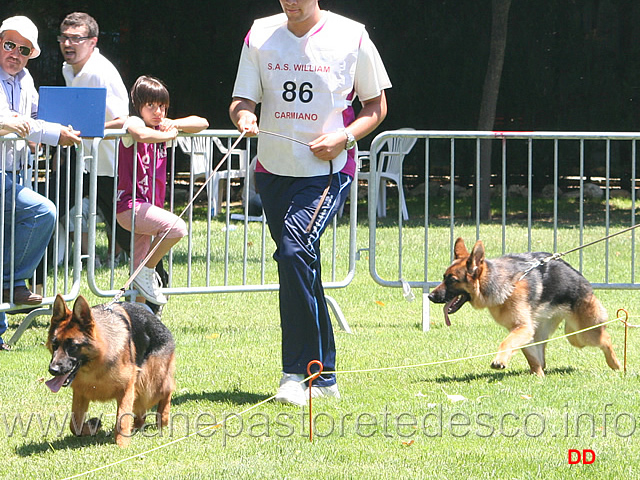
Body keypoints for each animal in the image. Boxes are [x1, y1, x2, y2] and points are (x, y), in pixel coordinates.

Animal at [45, 294, 176, 448]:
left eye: (72, 346)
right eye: (54, 344)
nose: (53, 370)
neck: (96, 365)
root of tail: (159, 323)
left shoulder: (126, 388)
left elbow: (122, 418)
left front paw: (122, 445)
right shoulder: (80, 392)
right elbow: (74, 425)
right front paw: (92, 426)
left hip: (149, 384)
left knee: (167, 389)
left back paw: (163, 418)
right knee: (141, 414)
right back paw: (135, 427)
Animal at [428, 238, 624, 376]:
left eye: (452, 280)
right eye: (444, 277)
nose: (430, 296)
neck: (500, 283)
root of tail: (583, 280)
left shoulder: (522, 328)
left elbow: (506, 342)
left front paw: (500, 360)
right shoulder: (523, 330)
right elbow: (530, 355)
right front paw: (538, 377)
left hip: (583, 333)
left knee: (606, 339)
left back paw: (616, 365)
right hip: (555, 333)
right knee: (541, 355)